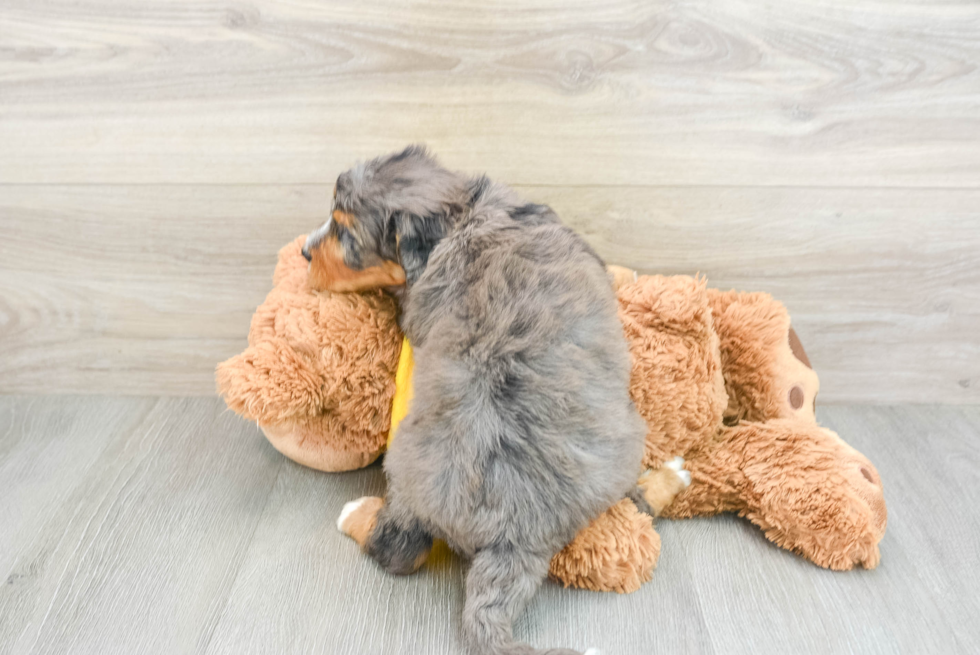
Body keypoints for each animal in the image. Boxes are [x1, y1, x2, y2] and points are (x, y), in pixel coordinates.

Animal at [302, 149, 648, 655]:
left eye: (346, 235)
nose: (304, 251)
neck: (463, 212)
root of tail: (516, 532)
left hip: (407, 477)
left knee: (399, 549)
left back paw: (357, 514)